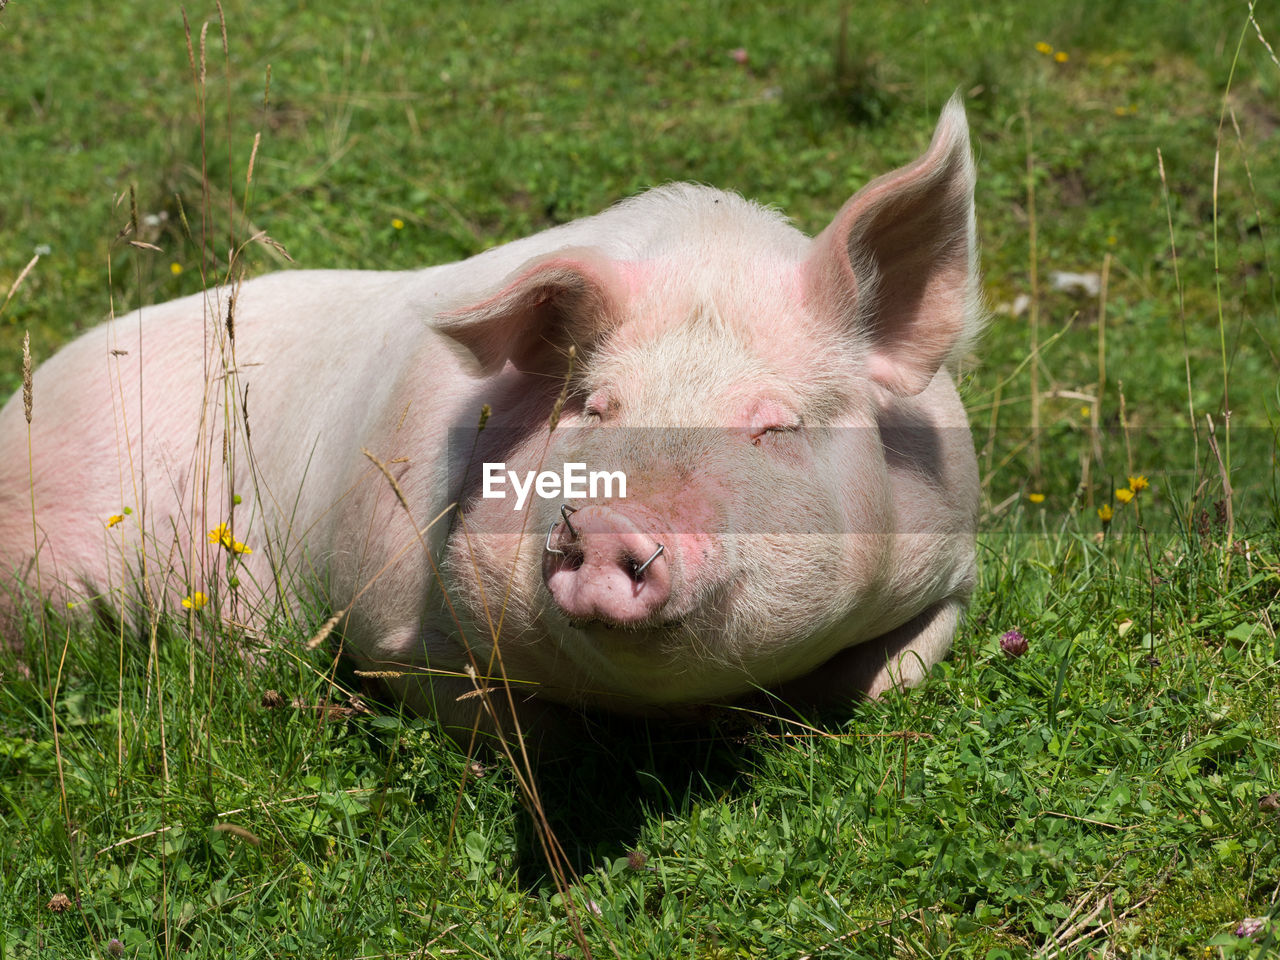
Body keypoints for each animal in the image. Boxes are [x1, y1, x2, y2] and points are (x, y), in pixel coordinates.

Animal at [0, 97, 977, 732]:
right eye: (592, 406)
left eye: (774, 425)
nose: (610, 524)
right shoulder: (394, 625)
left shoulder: (953, 561)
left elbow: (890, 675)